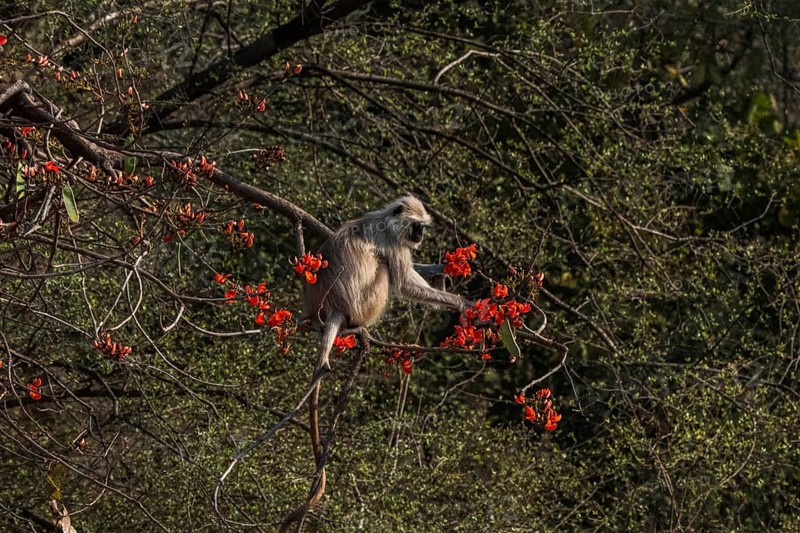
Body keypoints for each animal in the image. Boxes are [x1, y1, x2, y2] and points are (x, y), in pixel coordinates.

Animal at [305, 194, 468, 372]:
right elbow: (404, 284)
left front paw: (439, 270)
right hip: (363, 306)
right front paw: (460, 302)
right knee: (384, 267)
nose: (420, 234)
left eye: (423, 227)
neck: (387, 221)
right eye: (416, 225)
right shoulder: (393, 242)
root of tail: (332, 307)